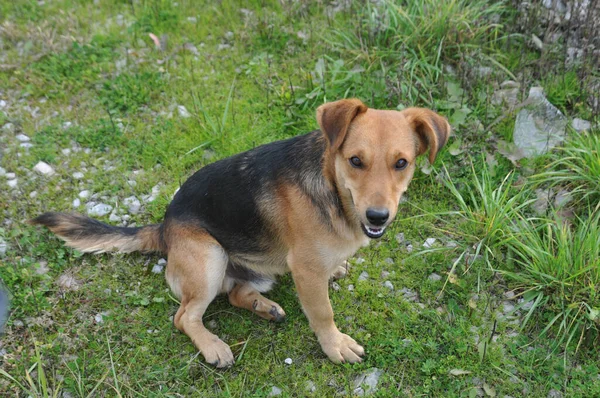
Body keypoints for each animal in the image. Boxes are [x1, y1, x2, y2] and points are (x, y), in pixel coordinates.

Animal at [30, 98, 448, 366]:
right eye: (355, 161)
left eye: (401, 163)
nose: (378, 217)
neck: (333, 189)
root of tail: (164, 227)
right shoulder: (306, 271)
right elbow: (323, 312)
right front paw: (335, 345)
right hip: (210, 258)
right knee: (185, 316)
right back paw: (213, 346)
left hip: (256, 269)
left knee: (234, 294)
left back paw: (265, 307)